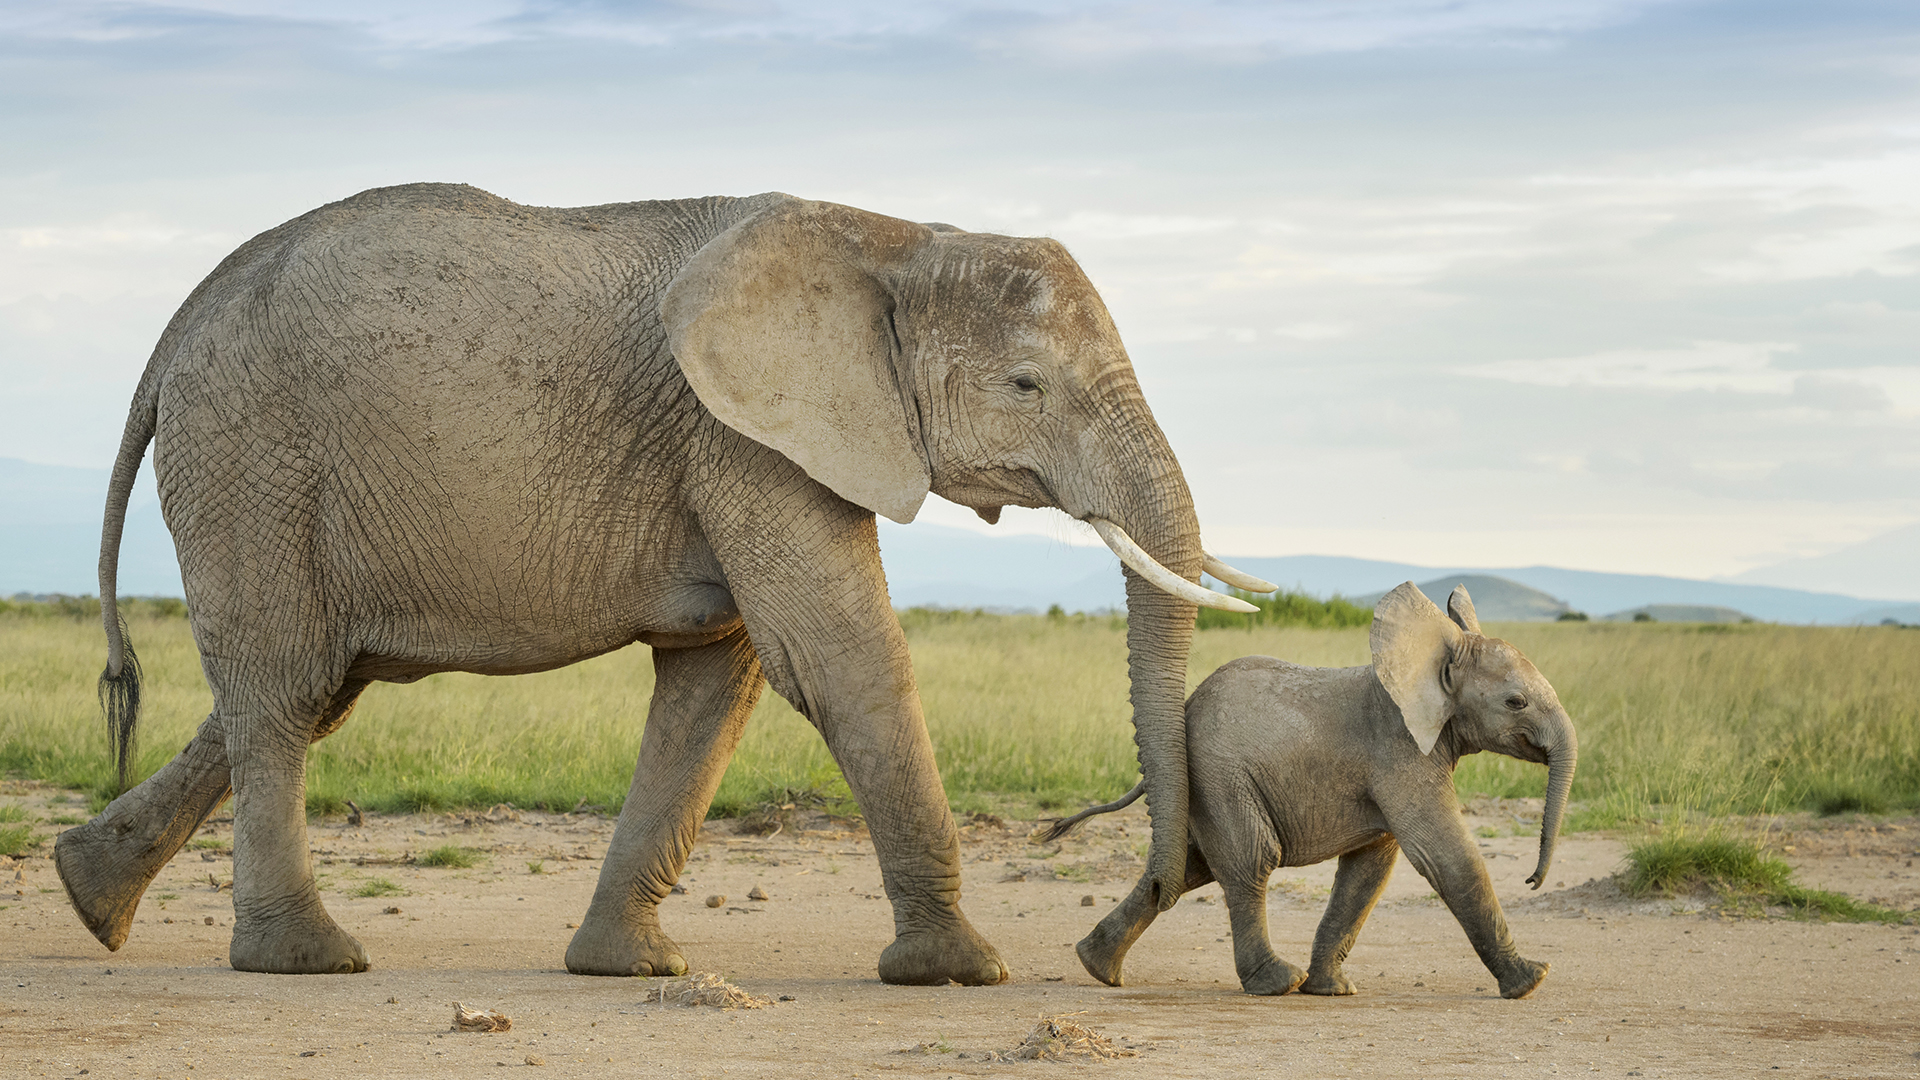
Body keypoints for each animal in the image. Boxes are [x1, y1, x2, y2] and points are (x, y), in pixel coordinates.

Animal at [48, 182, 1274, 976]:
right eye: (1026, 384)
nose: (1104, 952)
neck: (894, 235)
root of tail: (174, 333)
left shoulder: (741, 442)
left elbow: (712, 687)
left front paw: (628, 969)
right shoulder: (744, 436)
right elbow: (837, 658)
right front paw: (962, 971)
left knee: (307, 690)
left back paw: (86, 894)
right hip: (252, 457)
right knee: (285, 691)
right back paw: (304, 960)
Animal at [1059, 584, 1582, 999]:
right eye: (1516, 702)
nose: (1533, 880)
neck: (1429, 662)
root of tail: (1184, 709)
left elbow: (1368, 872)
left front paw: (1332, 990)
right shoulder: (1400, 754)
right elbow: (1447, 857)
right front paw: (1531, 981)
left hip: (1205, 781)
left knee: (1189, 868)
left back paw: (1098, 966)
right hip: (1221, 775)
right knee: (1251, 858)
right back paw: (1275, 982)